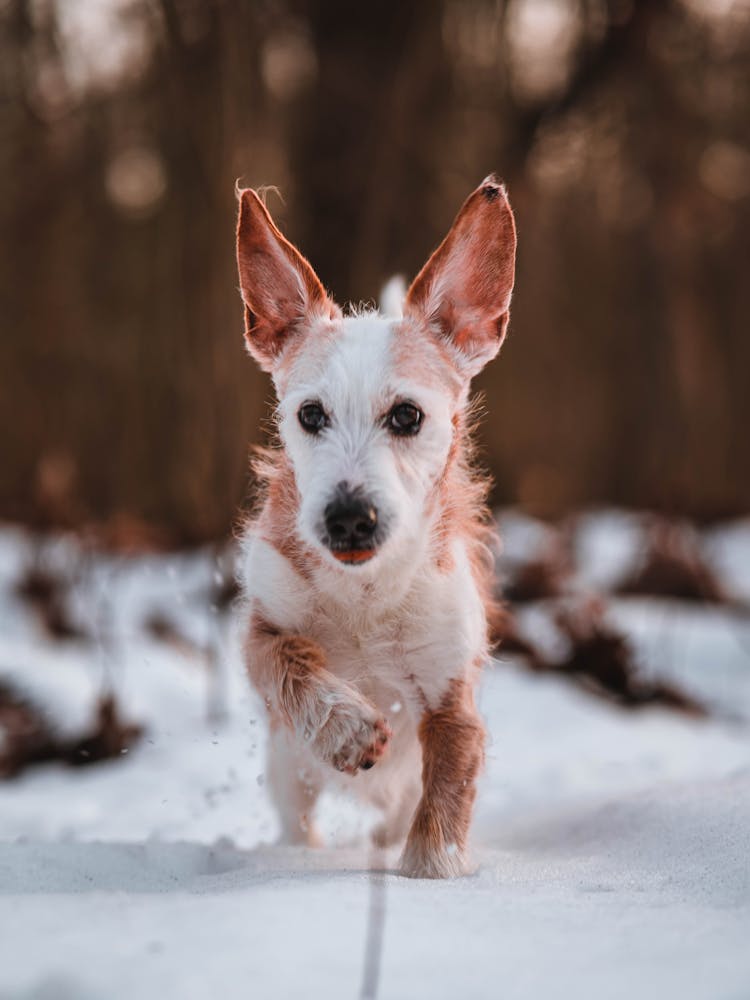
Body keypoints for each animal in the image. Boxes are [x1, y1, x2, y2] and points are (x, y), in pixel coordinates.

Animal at [235, 176, 516, 880]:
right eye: (310, 414)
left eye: (407, 416)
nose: (347, 517)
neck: (365, 596)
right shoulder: (262, 628)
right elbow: (288, 665)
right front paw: (347, 728)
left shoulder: (452, 702)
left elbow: (444, 803)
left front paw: (430, 875)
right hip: (288, 774)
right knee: (297, 818)